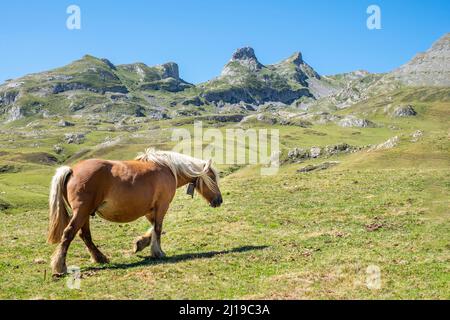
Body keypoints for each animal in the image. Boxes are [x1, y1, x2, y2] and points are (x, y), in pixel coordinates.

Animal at [47, 149, 221, 276]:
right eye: (212, 177)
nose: (219, 200)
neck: (168, 169)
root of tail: (71, 170)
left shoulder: (151, 209)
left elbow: (153, 229)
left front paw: (141, 244)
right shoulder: (162, 205)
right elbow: (158, 228)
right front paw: (158, 252)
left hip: (86, 214)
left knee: (85, 235)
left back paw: (100, 258)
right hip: (81, 212)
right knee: (69, 233)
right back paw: (60, 267)